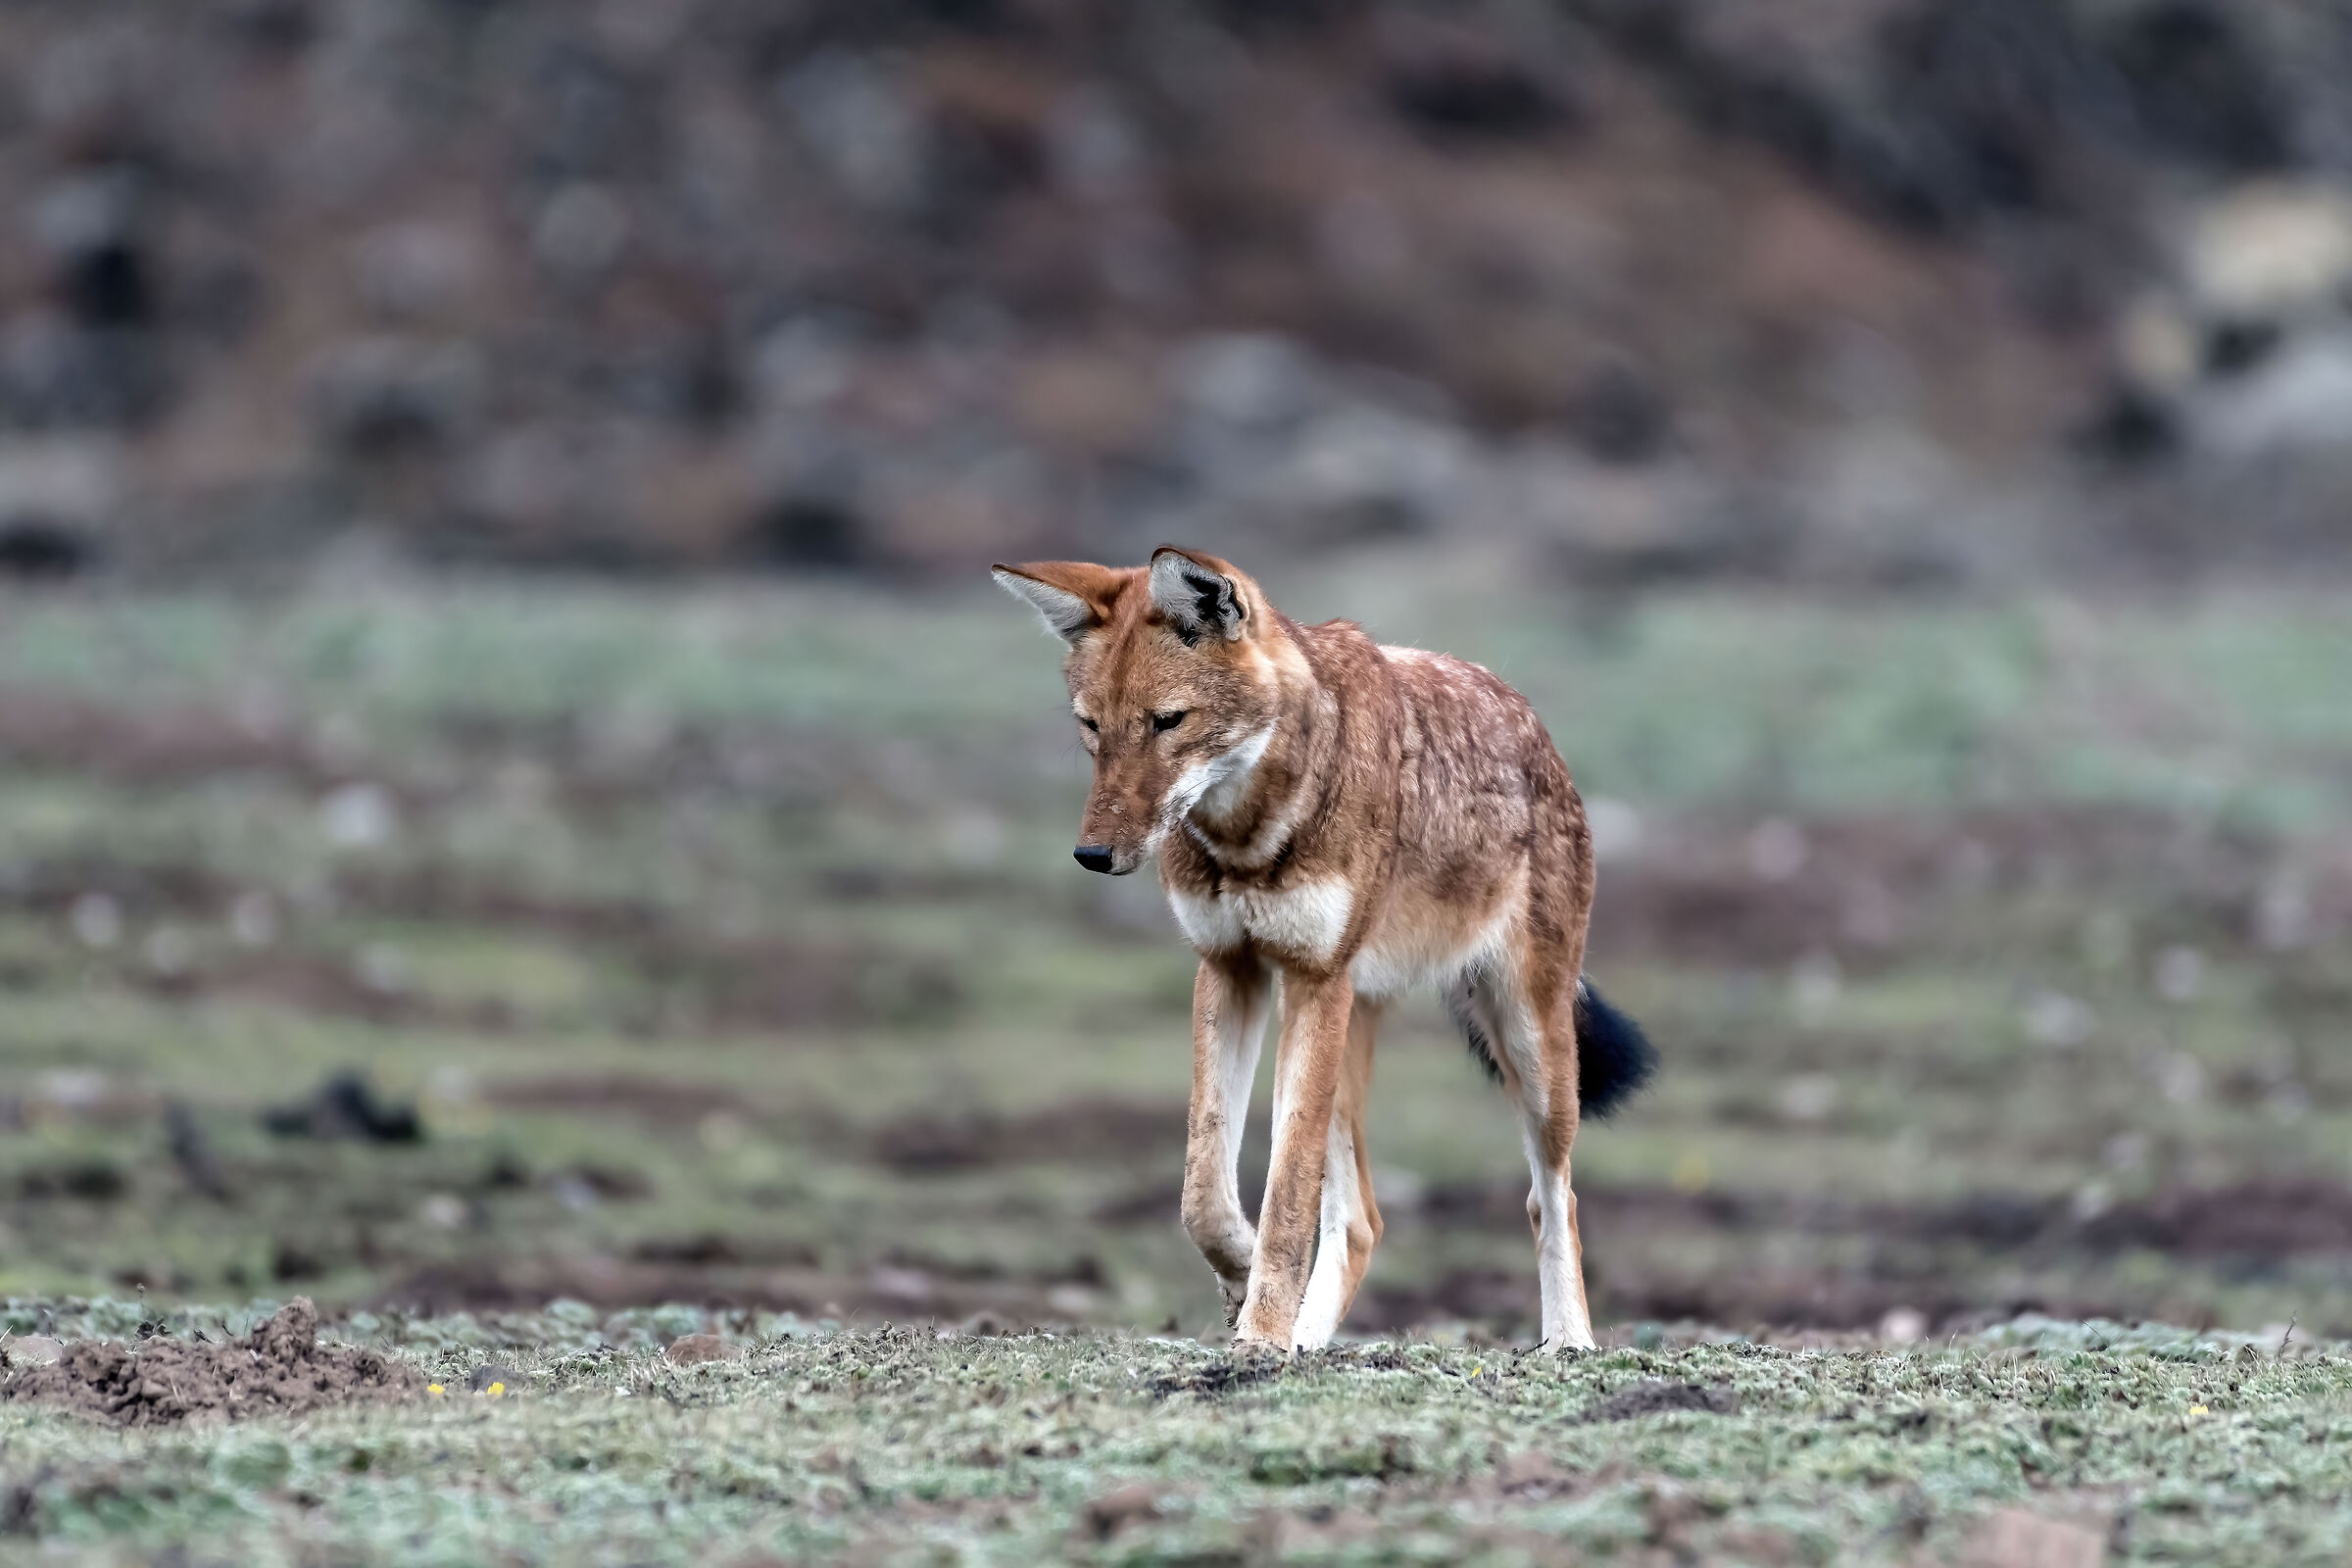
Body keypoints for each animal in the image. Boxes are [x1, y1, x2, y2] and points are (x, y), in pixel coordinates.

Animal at [992, 547, 1654, 1353]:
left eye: (1168, 722)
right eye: (1092, 728)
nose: (1092, 855)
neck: (1248, 838)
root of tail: (1531, 720)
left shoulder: (1312, 977)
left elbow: (1285, 1196)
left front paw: (1261, 1332)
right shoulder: (1231, 970)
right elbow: (1203, 1192)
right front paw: (1245, 1285)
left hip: (1529, 1045)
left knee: (1550, 1196)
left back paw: (1569, 1341)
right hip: (1344, 1033)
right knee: (1363, 1218)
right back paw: (1309, 1337)